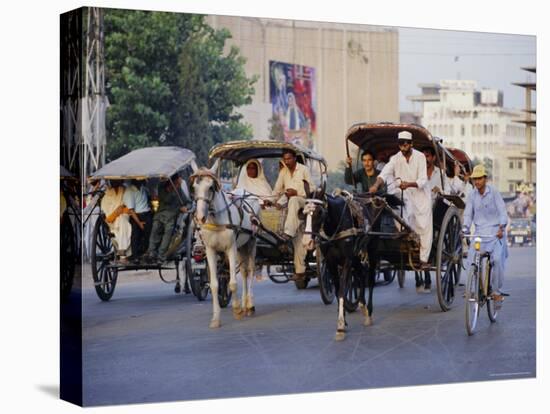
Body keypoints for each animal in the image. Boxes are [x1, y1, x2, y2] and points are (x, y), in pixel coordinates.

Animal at [191, 160, 262, 328]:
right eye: (194, 188)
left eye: (211, 187)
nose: (200, 217)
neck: (217, 220)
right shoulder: (210, 250)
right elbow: (214, 284)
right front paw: (216, 318)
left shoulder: (231, 248)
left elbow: (233, 283)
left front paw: (237, 310)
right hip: (241, 246)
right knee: (244, 272)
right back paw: (245, 304)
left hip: (251, 242)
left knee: (250, 270)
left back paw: (249, 305)